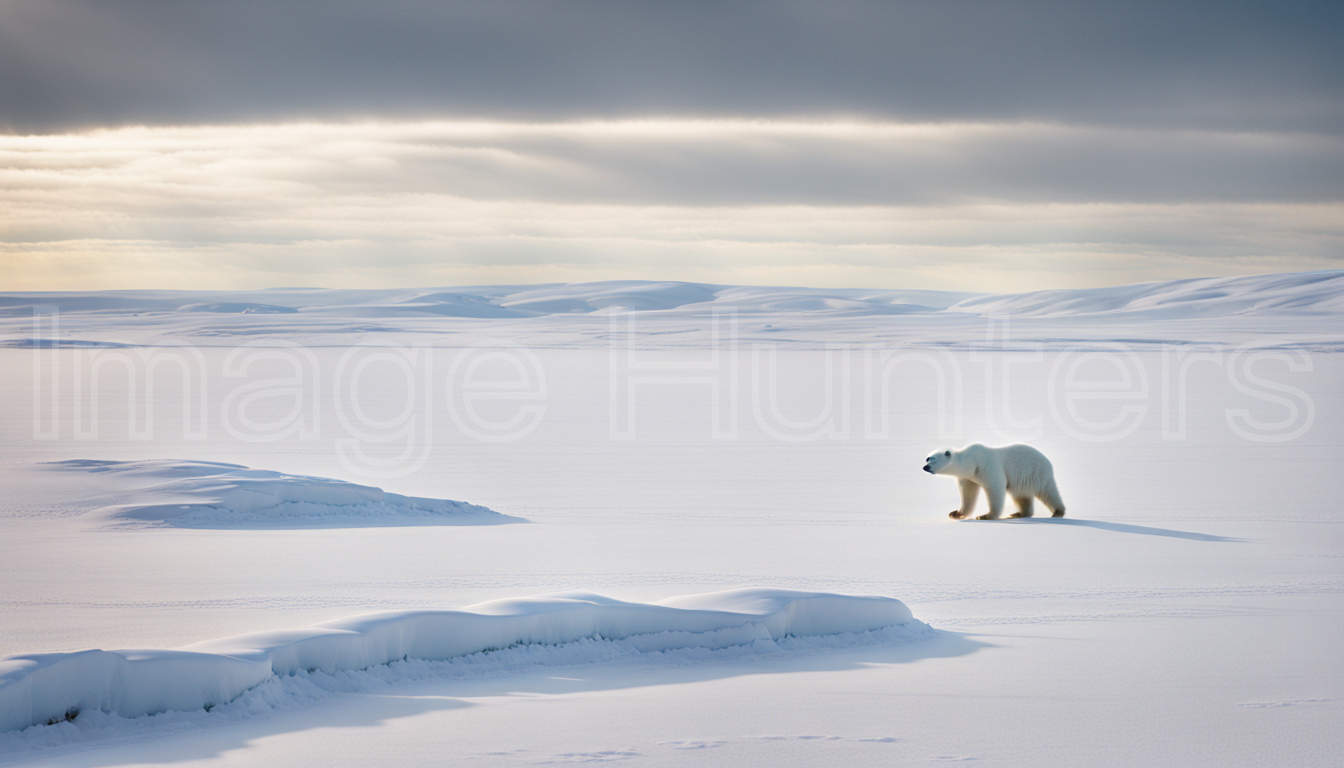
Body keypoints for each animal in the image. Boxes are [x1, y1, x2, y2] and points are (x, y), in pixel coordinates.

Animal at [919, 443, 1064, 521]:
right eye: (927, 458)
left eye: (933, 459)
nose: (925, 467)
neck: (971, 461)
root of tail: (1048, 461)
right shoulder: (969, 477)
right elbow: (968, 496)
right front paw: (955, 513)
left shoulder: (987, 467)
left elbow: (995, 488)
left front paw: (985, 516)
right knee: (1021, 496)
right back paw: (1018, 513)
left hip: (1037, 473)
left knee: (1048, 492)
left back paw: (1058, 512)